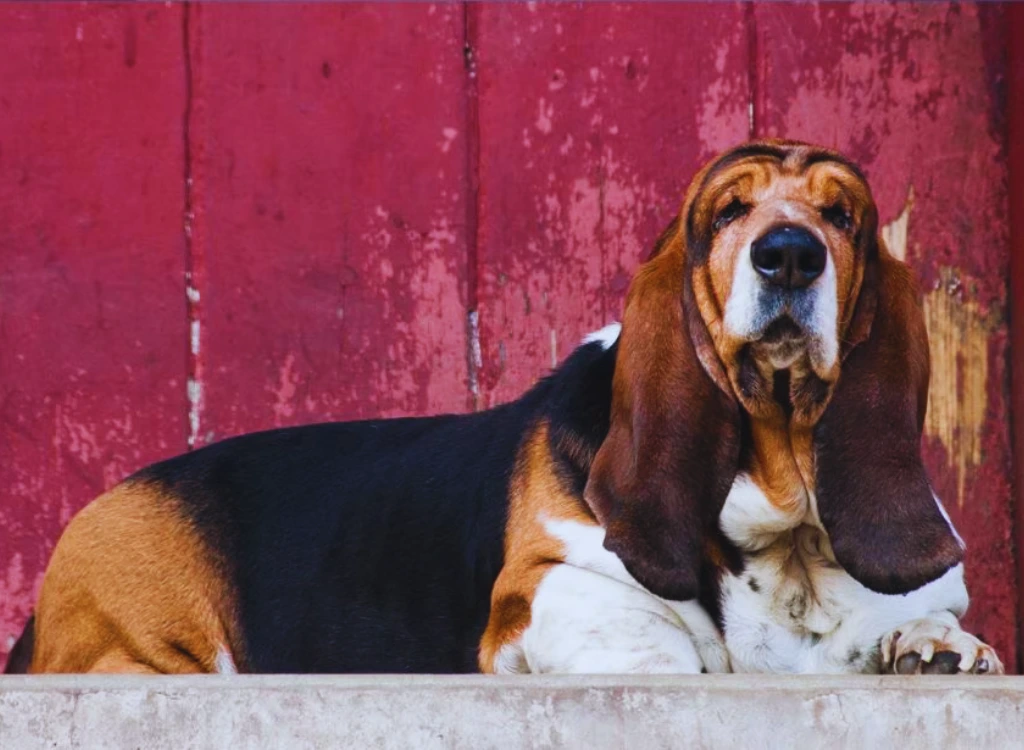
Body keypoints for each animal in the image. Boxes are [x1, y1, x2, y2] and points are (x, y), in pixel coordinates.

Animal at [6, 139, 999, 672]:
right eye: (728, 212)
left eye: (844, 217)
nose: (789, 253)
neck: (784, 525)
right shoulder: (545, 590)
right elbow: (658, 643)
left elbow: (917, 623)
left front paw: (933, 646)